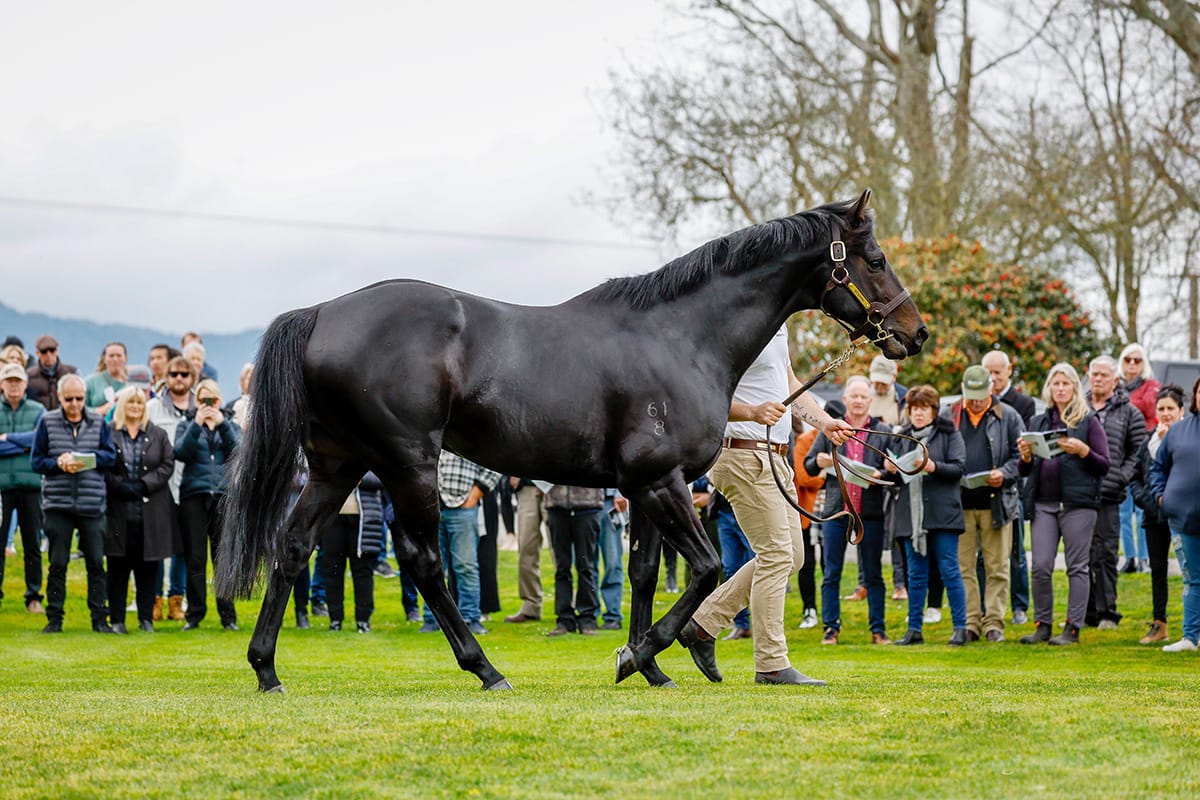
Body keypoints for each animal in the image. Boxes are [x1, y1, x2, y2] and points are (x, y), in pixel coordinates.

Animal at [214, 188, 927, 693]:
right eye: (875, 259)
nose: (914, 333)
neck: (680, 336)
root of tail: (321, 314)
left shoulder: (645, 487)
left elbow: (644, 573)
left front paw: (651, 665)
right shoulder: (660, 482)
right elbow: (705, 568)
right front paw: (638, 654)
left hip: (337, 465)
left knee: (292, 546)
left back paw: (266, 669)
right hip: (407, 464)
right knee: (422, 560)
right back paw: (486, 668)